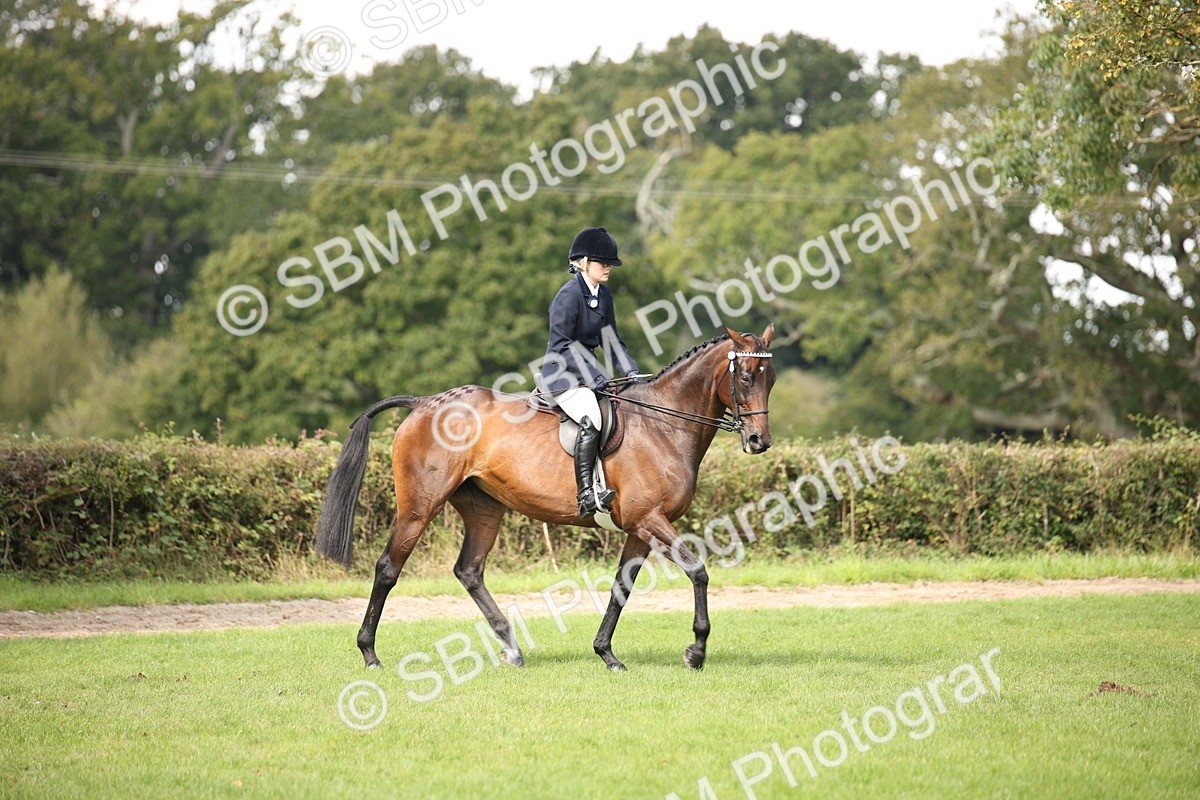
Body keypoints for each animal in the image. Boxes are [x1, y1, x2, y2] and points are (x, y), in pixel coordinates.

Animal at [315, 324, 776, 671]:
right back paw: (370, 653)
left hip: (484, 508)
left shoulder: (640, 527)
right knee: (388, 568)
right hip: (419, 506)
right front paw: (695, 651)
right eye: (745, 377)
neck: (664, 424)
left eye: (771, 379)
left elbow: (621, 587)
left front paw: (606, 654)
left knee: (469, 570)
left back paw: (511, 648)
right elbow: (698, 571)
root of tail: (425, 402)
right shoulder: (649, 519)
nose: (759, 441)